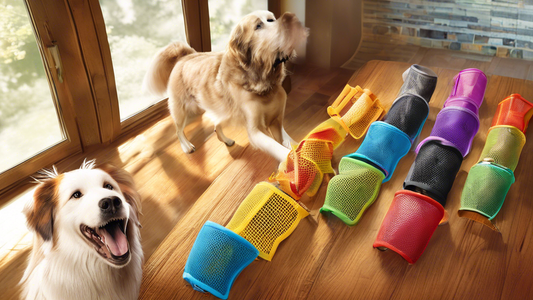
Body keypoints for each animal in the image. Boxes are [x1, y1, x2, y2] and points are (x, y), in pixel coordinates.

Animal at [143, 10, 308, 162]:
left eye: (271, 19)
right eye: (258, 26)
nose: (290, 18)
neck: (264, 84)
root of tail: (186, 56)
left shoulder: (277, 121)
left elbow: (288, 141)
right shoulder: (255, 131)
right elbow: (278, 148)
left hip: (217, 110)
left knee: (216, 124)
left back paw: (226, 140)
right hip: (186, 111)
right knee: (178, 130)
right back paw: (185, 146)